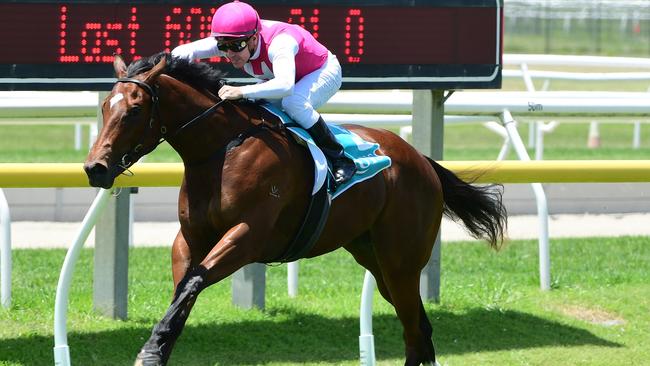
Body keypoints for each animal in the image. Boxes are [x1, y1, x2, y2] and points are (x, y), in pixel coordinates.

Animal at [82, 52, 506, 366]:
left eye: (134, 110)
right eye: (104, 106)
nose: (95, 168)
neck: (223, 149)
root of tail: (422, 160)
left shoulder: (248, 236)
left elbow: (193, 282)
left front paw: (151, 351)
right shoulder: (190, 239)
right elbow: (183, 290)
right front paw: (158, 346)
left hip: (401, 261)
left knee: (415, 333)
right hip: (375, 259)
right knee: (419, 330)